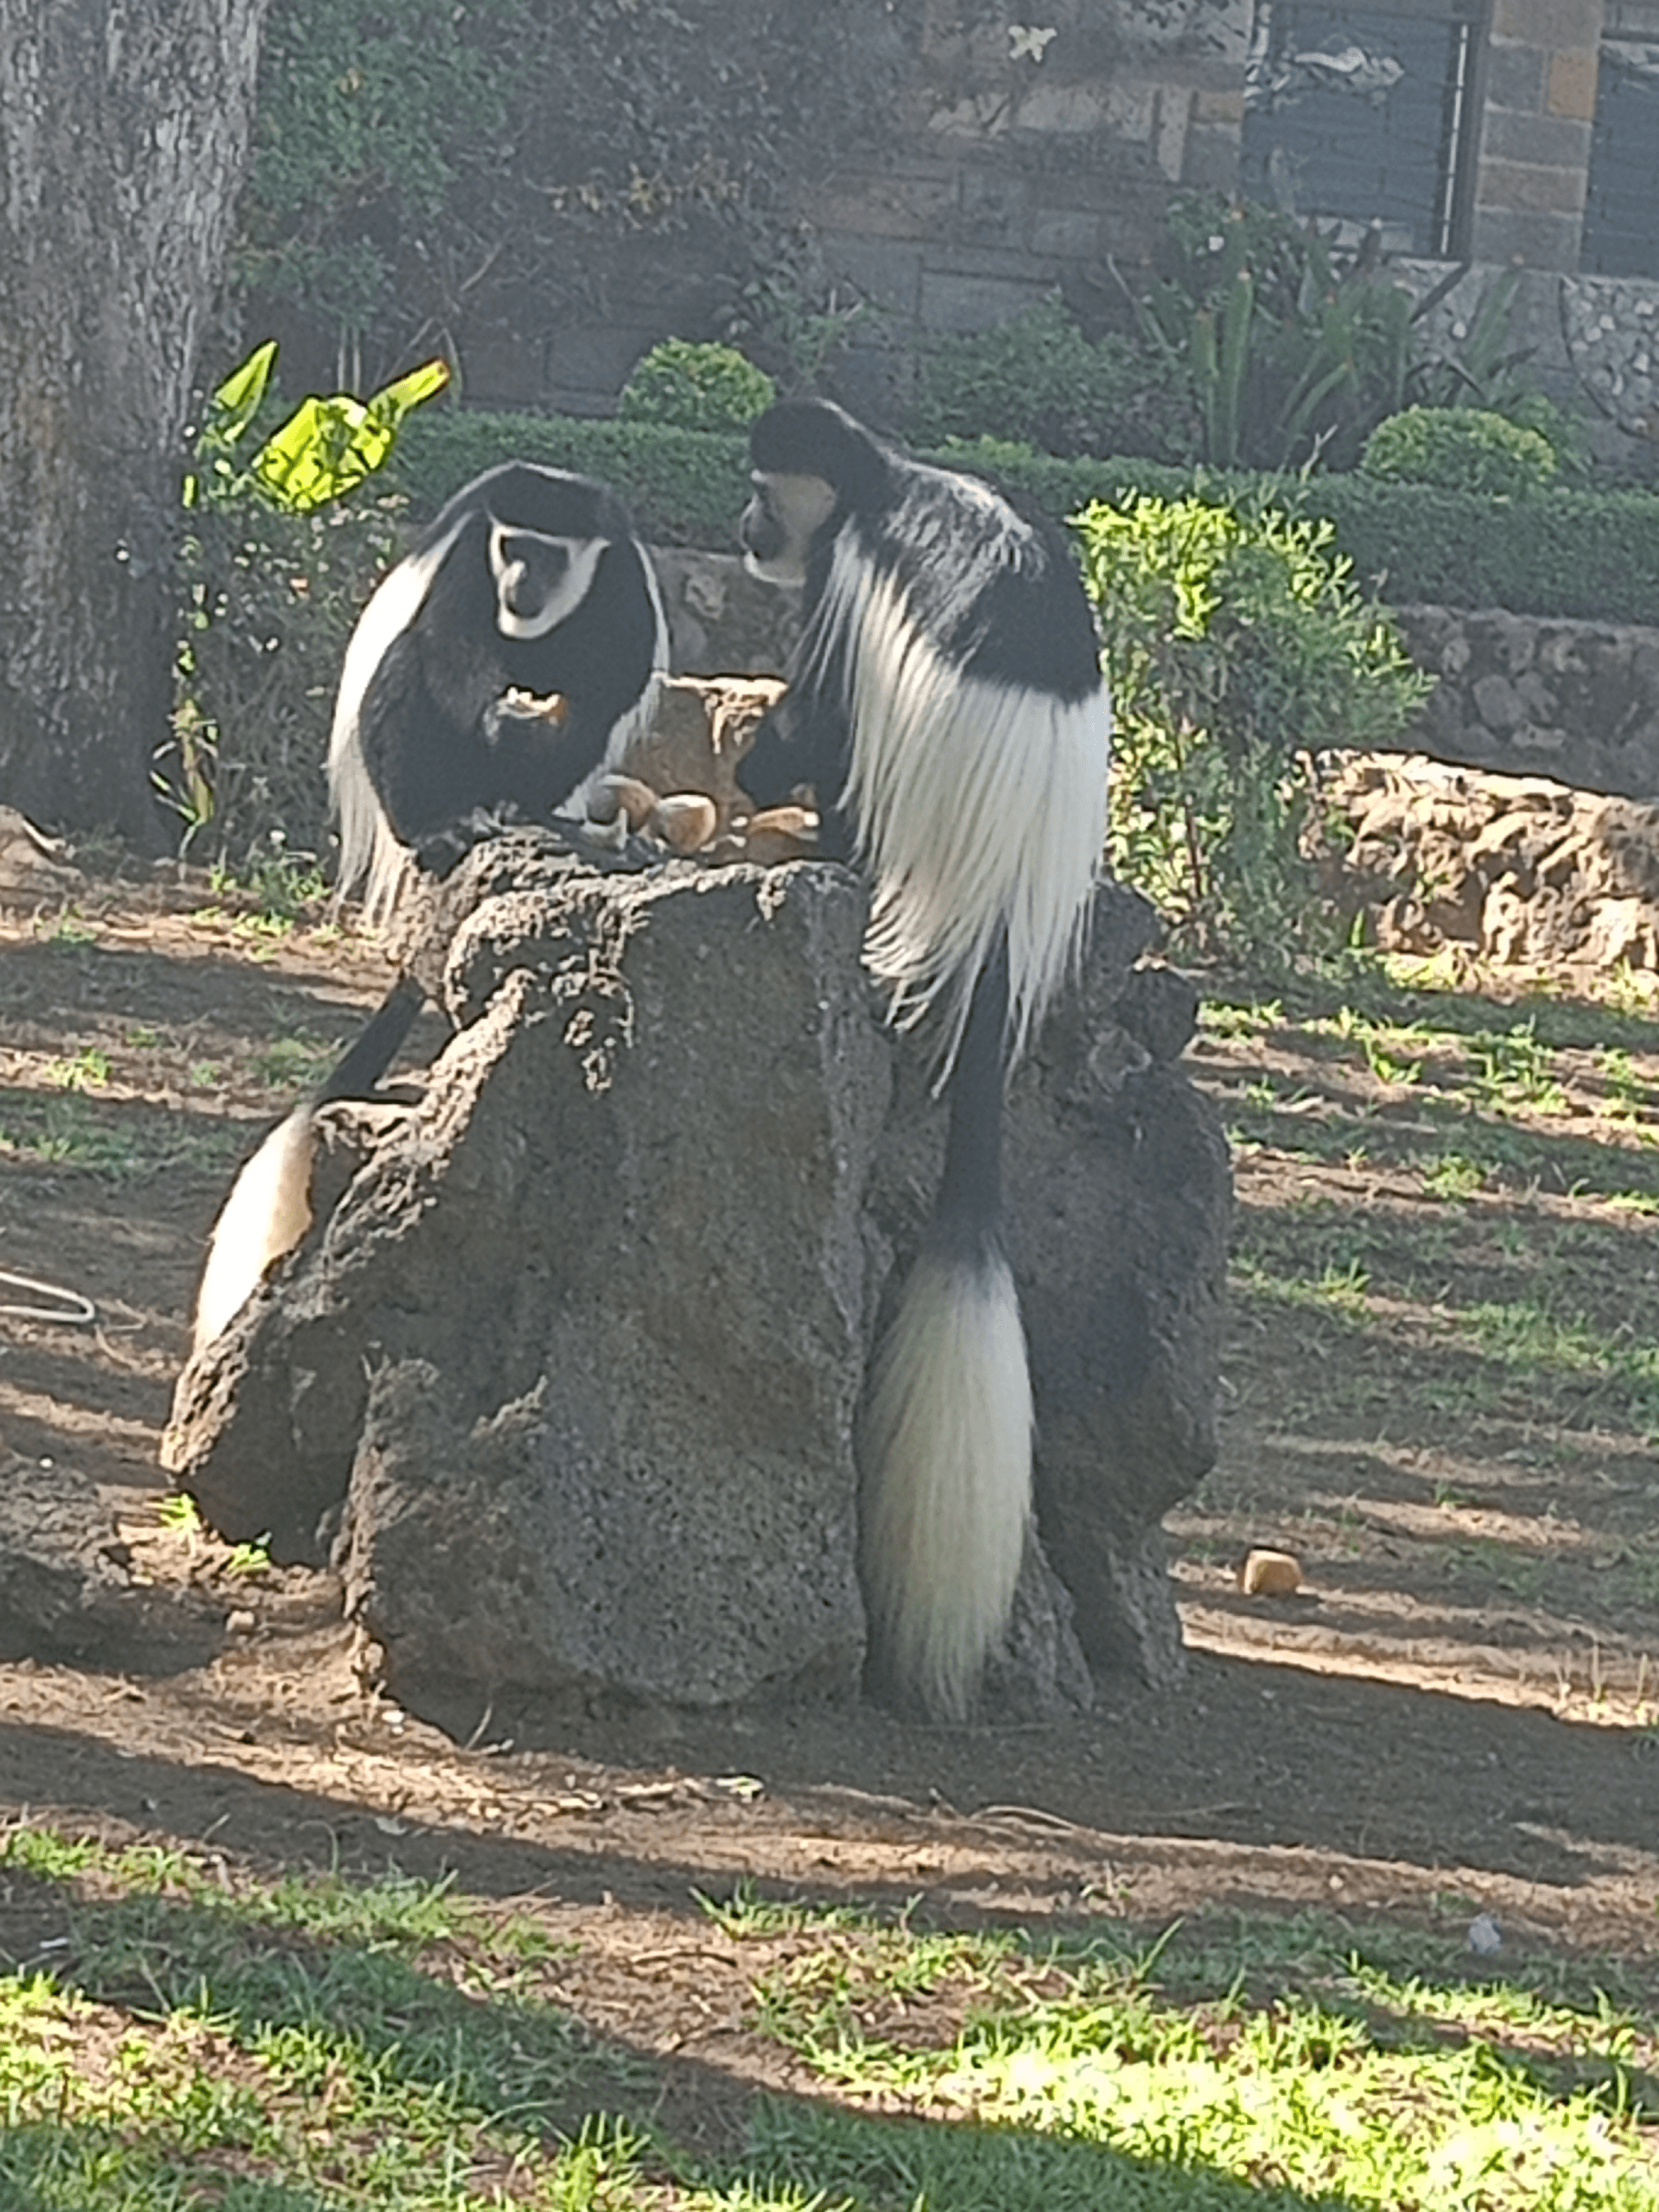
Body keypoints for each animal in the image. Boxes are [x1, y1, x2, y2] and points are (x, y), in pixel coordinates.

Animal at [329, 461, 668, 925]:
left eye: (548, 556)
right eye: (512, 548)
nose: (520, 580)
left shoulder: (621, 572)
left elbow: (614, 679)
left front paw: (530, 729)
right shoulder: (472, 549)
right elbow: (449, 642)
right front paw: (500, 720)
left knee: (589, 728)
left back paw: (518, 804)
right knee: (407, 660)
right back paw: (440, 828)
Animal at [739, 397, 1112, 1720]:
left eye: (763, 494)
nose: (744, 530)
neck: (879, 486)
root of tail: (998, 903)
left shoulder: (845, 581)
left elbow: (821, 709)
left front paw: (755, 761)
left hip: (909, 810)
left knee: (856, 767)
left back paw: (825, 841)